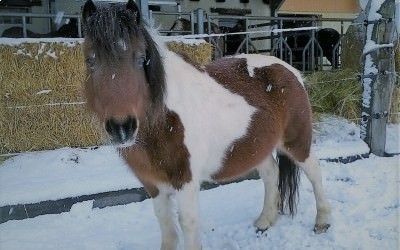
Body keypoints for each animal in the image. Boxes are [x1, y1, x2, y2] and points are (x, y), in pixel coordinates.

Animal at [82, 0, 332, 249]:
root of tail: (290, 70)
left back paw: (322, 221)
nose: (122, 127)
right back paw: (265, 221)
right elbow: (165, 223)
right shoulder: (153, 185)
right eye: (90, 60)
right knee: (271, 174)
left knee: (314, 170)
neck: (163, 121)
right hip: (258, 145)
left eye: (142, 58)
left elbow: (188, 223)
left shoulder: (186, 182)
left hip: (296, 141)